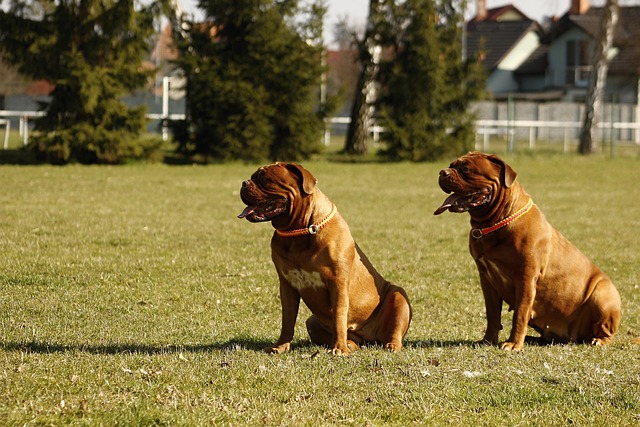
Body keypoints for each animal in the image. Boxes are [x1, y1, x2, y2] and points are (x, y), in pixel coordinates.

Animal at [238, 163, 412, 354]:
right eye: (252, 176)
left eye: (264, 179)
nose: (244, 183)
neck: (299, 232)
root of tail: (369, 337)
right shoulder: (287, 285)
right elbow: (287, 321)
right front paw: (281, 346)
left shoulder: (337, 282)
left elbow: (339, 316)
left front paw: (339, 348)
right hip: (312, 321)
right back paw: (350, 344)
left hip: (399, 296)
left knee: (394, 330)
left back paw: (391, 345)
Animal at [436, 153, 620, 352]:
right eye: (451, 165)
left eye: (466, 169)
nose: (442, 172)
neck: (495, 222)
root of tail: (573, 337)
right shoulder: (487, 280)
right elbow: (492, 315)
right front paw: (488, 341)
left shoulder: (526, 279)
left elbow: (520, 314)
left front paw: (513, 343)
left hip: (603, 295)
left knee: (605, 331)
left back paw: (598, 340)